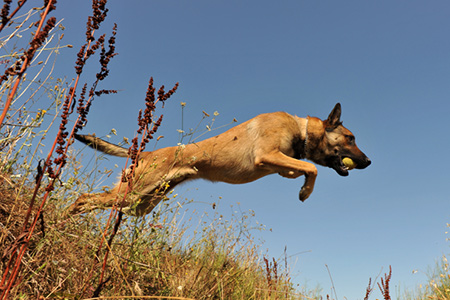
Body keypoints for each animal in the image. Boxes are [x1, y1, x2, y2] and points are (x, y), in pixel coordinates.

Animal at [67, 103, 370, 216]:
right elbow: (310, 168)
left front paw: (300, 183)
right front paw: (305, 191)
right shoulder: (267, 155)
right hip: (131, 193)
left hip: (139, 204)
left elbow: (301, 168)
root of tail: (147, 153)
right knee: (83, 199)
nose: (368, 162)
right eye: (350, 138)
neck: (302, 130)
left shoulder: (278, 160)